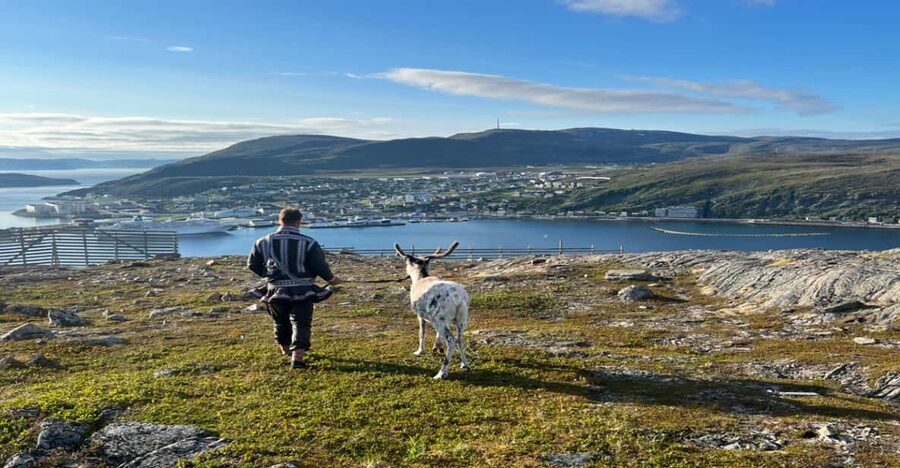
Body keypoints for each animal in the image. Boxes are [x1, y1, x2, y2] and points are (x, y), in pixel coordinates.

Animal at [394, 241, 471, 379]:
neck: (420, 277)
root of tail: (458, 298)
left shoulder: (420, 315)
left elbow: (421, 333)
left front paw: (420, 351)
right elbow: (437, 334)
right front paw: (437, 347)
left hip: (439, 318)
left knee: (451, 341)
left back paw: (441, 373)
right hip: (462, 319)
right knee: (460, 339)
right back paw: (465, 364)